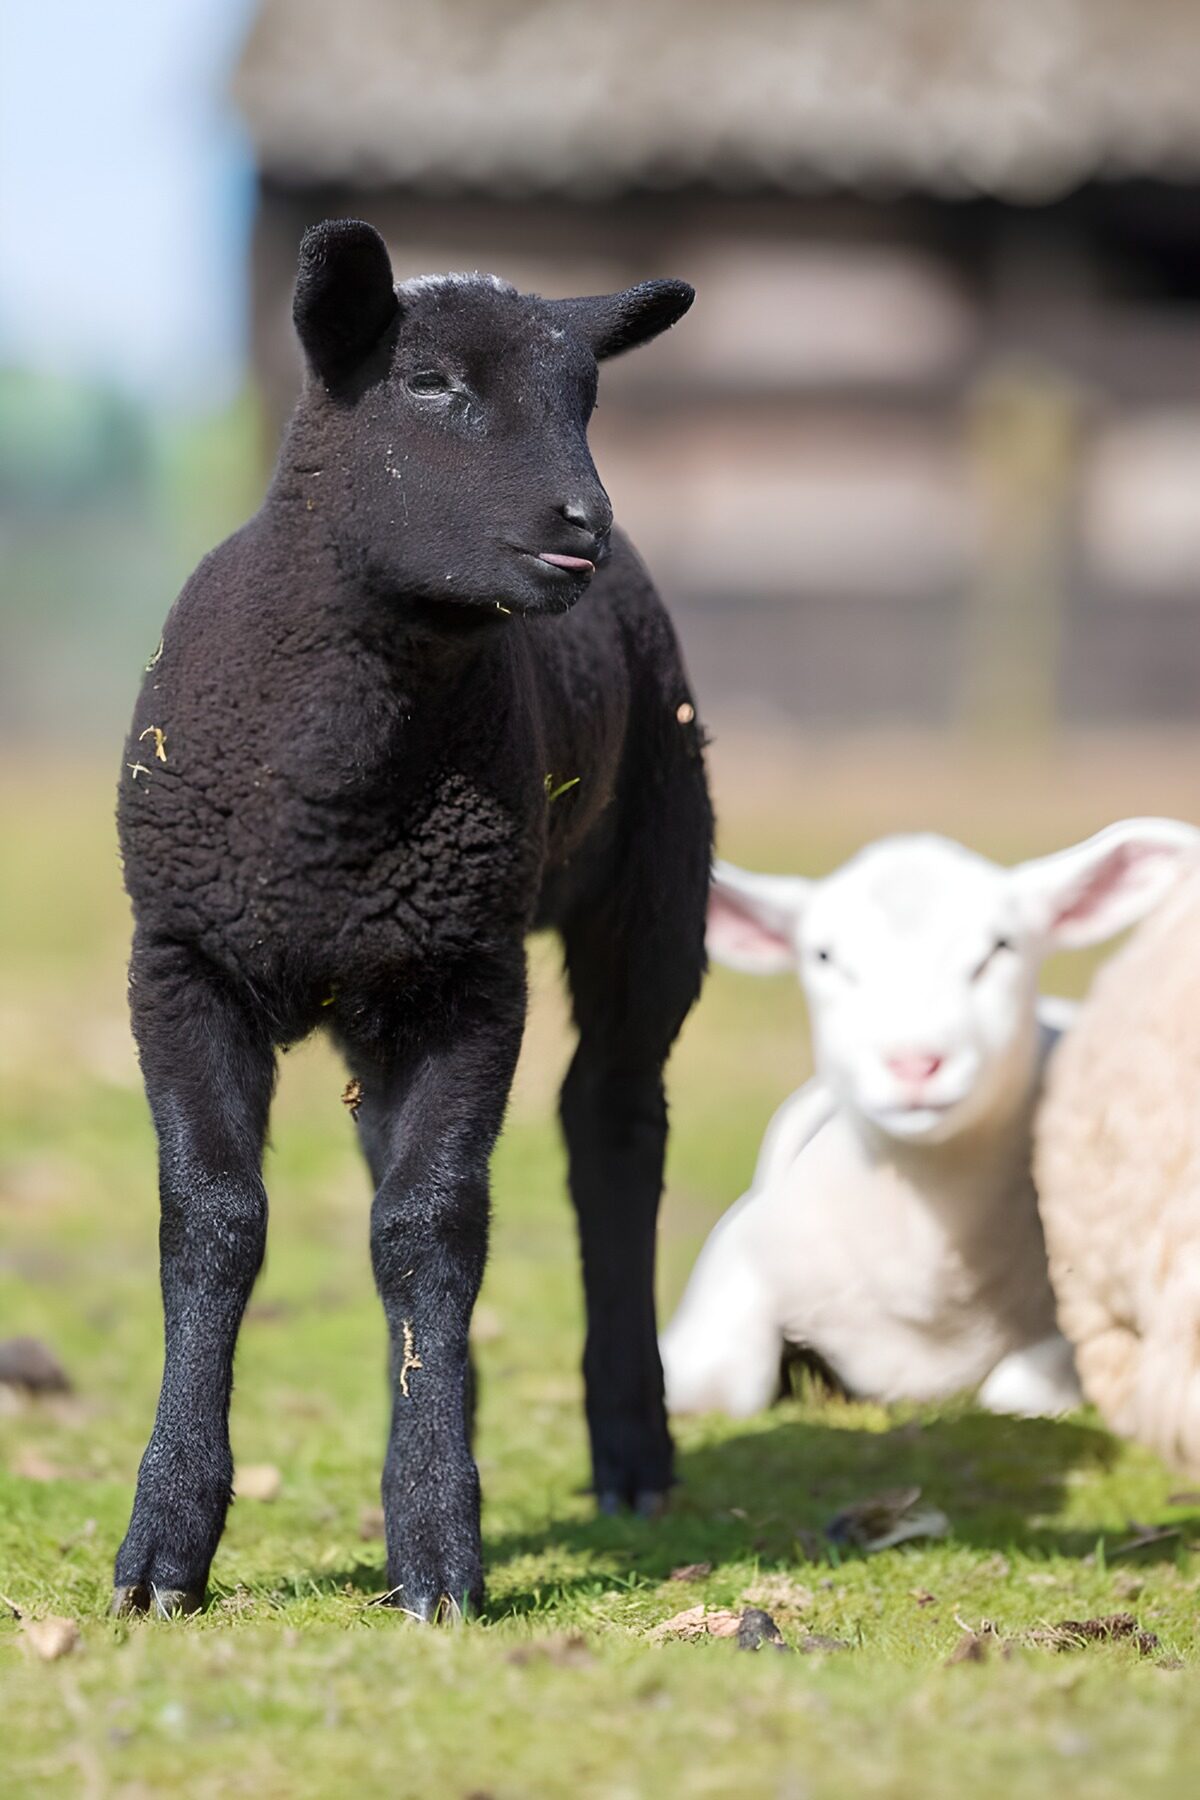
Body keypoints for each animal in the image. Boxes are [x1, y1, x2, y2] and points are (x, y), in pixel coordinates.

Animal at [112, 219, 712, 1621]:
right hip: (375, 983)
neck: (330, 786)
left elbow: (429, 1228)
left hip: (654, 880)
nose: (583, 522)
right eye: (428, 385)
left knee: (612, 1127)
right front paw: (166, 1546)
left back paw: (631, 1451)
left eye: (586, 398)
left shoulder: (470, 974)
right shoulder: (181, 960)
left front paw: (438, 1543)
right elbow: (211, 1221)